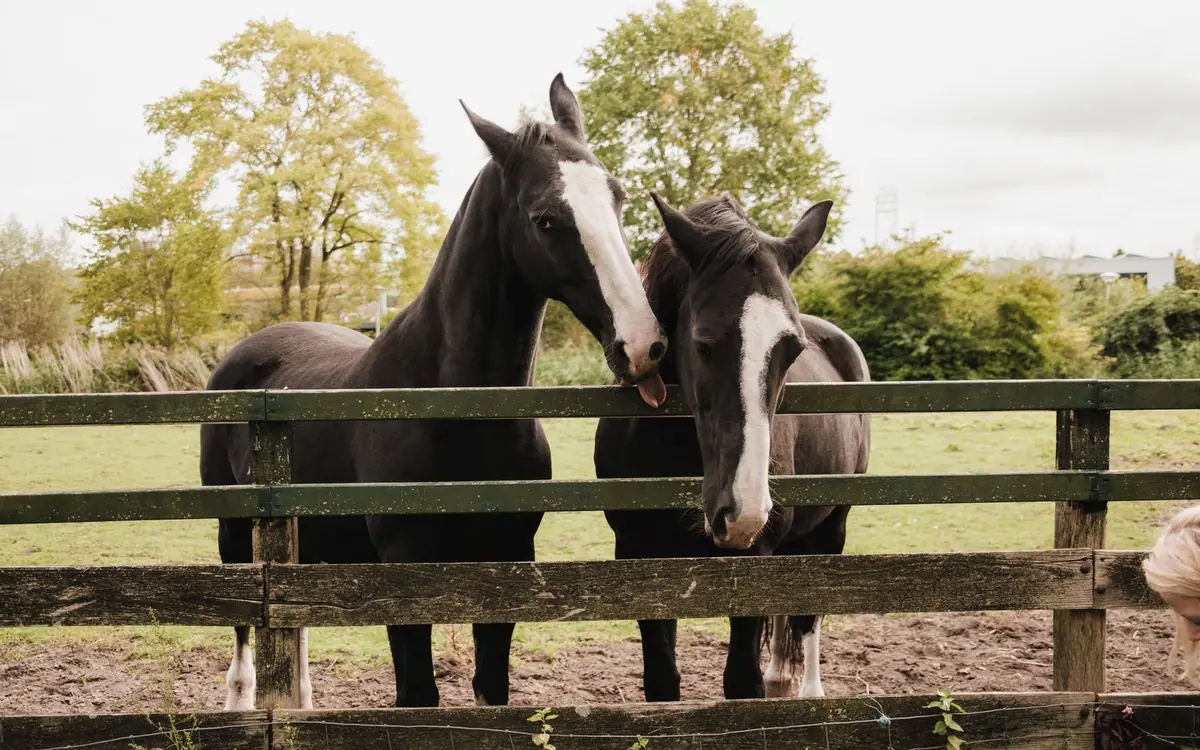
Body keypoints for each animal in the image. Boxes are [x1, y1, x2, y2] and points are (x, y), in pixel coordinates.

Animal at [201, 74, 668, 710]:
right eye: (546, 219)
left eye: (616, 197)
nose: (642, 344)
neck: (453, 407)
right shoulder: (405, 572)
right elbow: (417, 696)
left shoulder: (506, 559)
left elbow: (491, 689)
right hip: (234, 537)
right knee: (246, 631)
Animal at [594, 191, 870, 702]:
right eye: (703, 344)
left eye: (792, 349)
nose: (742, 514)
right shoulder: (638, 554)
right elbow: (662, 682)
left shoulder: (753, 558)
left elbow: (742, 681)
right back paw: (781, 674)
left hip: (832, 526)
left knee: (808, 616)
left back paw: (809, 691)